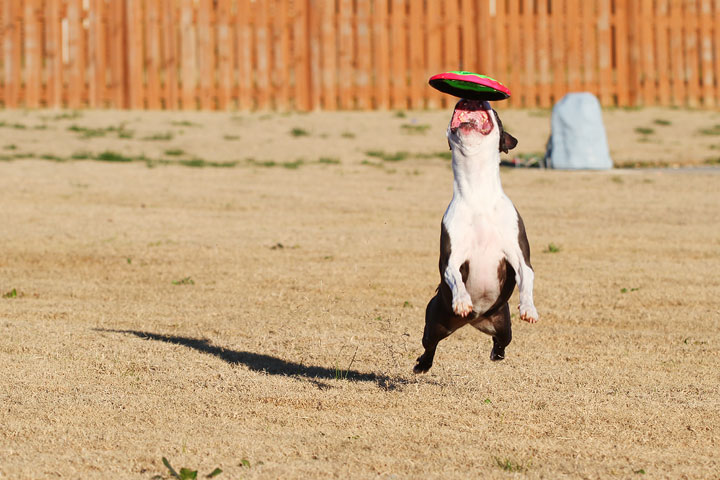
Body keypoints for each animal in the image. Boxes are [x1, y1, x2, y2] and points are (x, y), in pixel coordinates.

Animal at [414, 98, 536, 376]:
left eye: (497, 113)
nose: (471, 98)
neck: (478, 193)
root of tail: (476, 320)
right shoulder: (451, 256)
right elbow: (454, 275)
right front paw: (461, 300)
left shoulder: (519, 255)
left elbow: (527, 277)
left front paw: (529, 308)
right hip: (435, 319)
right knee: (430, 344)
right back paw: (422, 364)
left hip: (502, 323)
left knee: (501, 341)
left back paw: (496, 354)